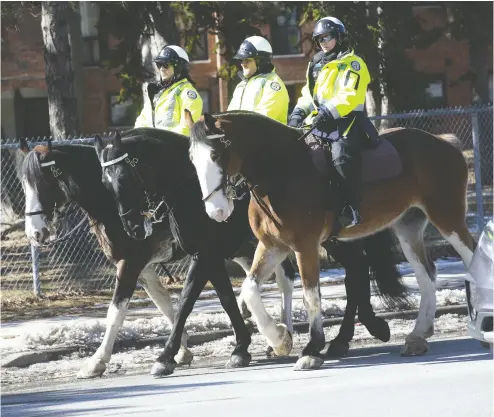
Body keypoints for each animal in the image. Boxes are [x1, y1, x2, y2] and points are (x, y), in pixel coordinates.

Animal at [23, 140, 292, 376]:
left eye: (43, 182)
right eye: (24, 185)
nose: (34, 233)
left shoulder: (134, 264)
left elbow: (116, 313)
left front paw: (96, 362)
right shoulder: (152, 267)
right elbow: (169, 303)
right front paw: (182, 350)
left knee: (284, 281)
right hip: (245, 249)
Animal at [95, 127, 410, 376]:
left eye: (124, 177)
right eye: (105, 183)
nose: (133, 228)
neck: (193, 192)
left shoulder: (205, 256)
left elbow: (186, 301)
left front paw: (166, 356)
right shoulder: (210, 258)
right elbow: (226, 299)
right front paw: (243, 347)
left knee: (355, 272)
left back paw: (347, 336)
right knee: (354, 272)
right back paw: (352, 334)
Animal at [185, 110, 474, 370]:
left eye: (215, 155)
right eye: (192, 160)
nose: (216, 211)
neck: (281, 171)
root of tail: (445, 143)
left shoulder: (305, 246)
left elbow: (311, 296)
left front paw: (312, 350)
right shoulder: (272, 246)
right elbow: (250, 289)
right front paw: (280, 339)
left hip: (447, 218)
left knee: (471, 258)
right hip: (408, 226)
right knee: (427, 275)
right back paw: (418, 335)